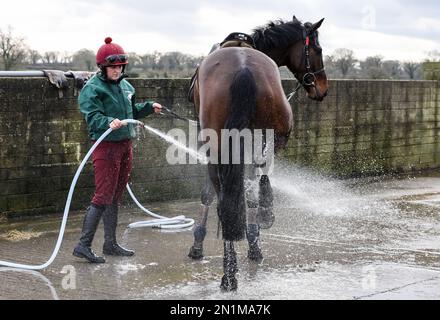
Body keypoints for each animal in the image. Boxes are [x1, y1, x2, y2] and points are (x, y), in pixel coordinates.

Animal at [187, 15, 328, 292]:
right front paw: (260, 223)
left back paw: (229, 273)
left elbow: (210, 193)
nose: (322, 87)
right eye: (318, 49)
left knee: (227, 199)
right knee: (250, 184)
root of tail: (243, 68)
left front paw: (198, 243)